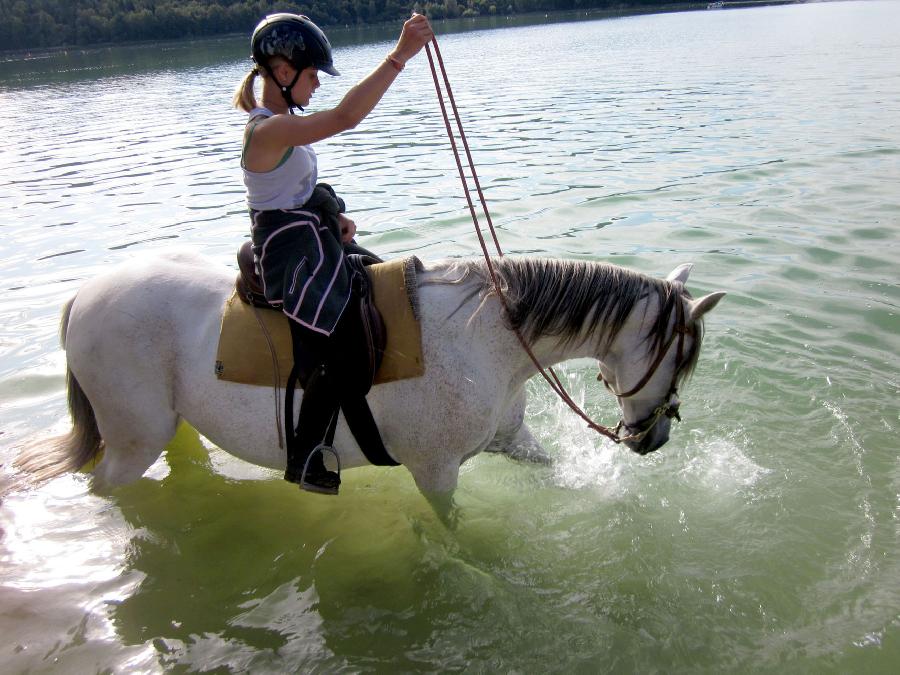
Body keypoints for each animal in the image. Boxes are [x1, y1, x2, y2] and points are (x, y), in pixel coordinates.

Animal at [15, 251, 724, 520]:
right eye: (680, 360)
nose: (654, 438)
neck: (485, 340)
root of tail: (82, 296)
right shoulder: (436, 472)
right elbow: (454, 530)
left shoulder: (510, 442)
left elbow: (553, 472)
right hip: (133, 440)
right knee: (106, 485)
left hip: (171, 427)